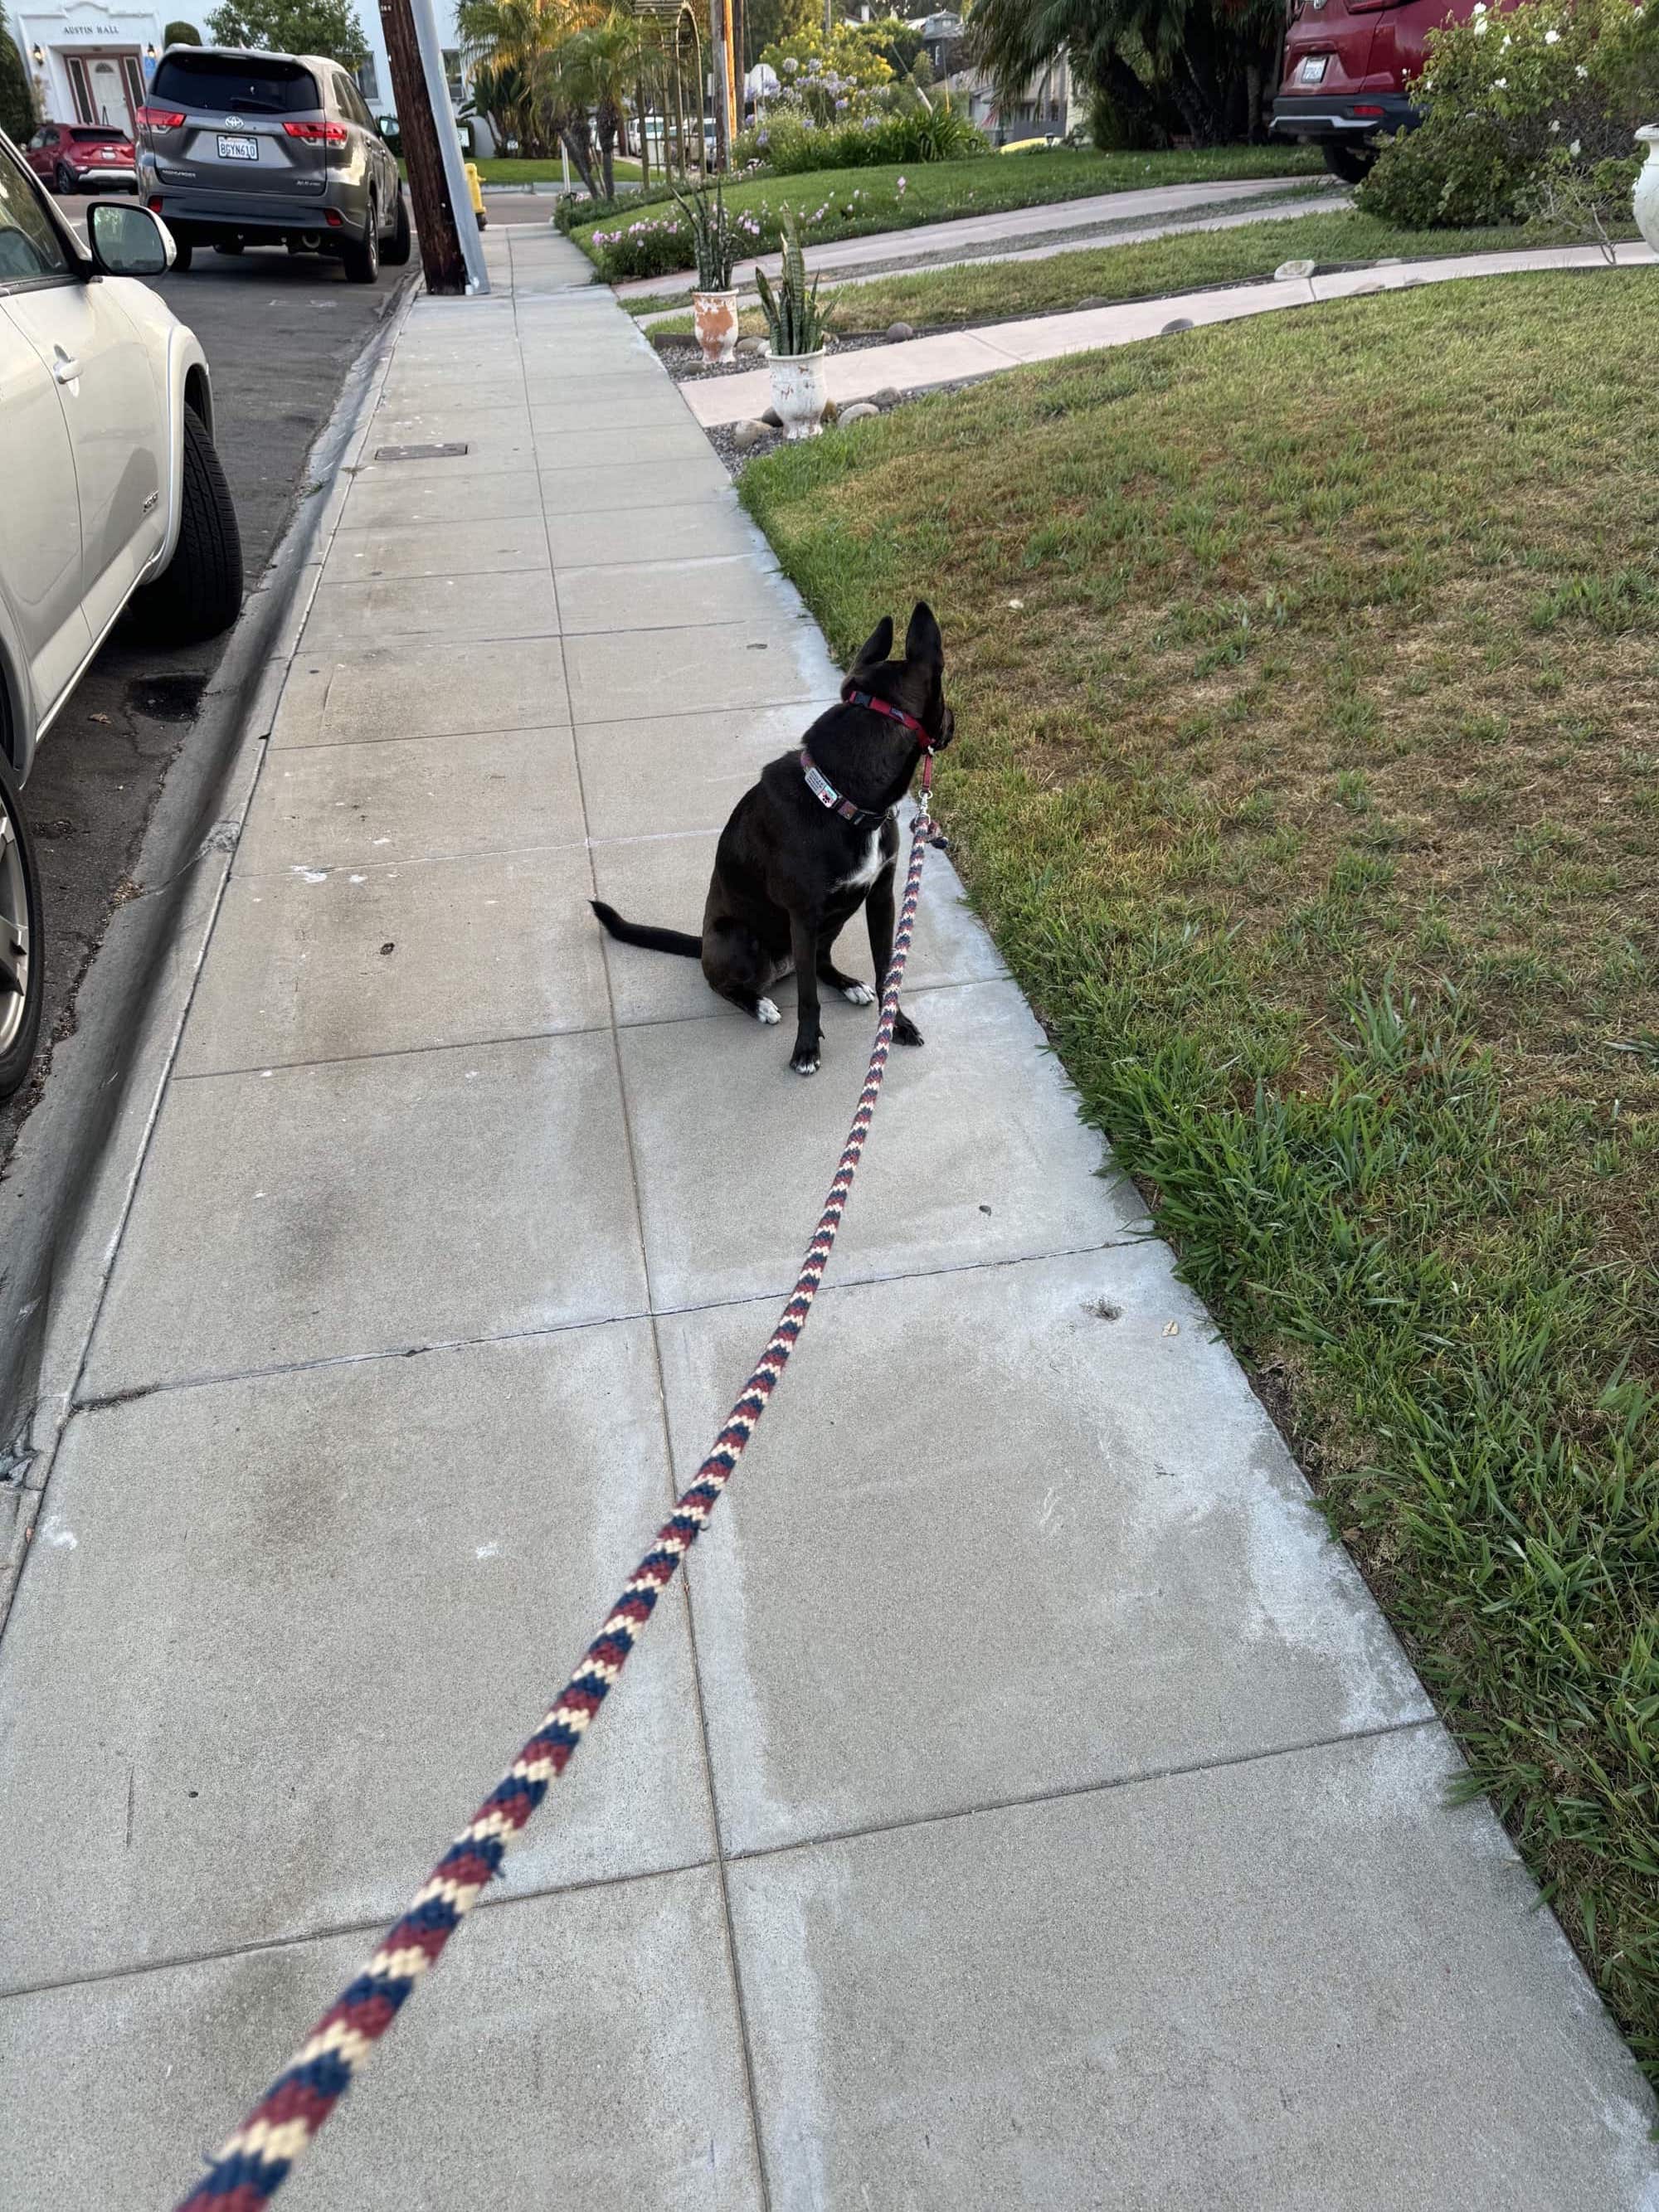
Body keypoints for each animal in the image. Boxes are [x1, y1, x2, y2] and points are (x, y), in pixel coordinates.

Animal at [592, 597, 956, 1079]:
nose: (953, 723)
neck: (841, 797)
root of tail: (703, 942)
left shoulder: (880, 896)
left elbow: (886, 972)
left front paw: (895, 1026)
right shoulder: (802, 916)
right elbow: (807, 1000)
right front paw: (806, 1050)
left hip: (835, 920)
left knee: (819, 964)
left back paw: (847, 984)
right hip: (740, 939)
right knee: (727, 984)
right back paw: (759, 1003)